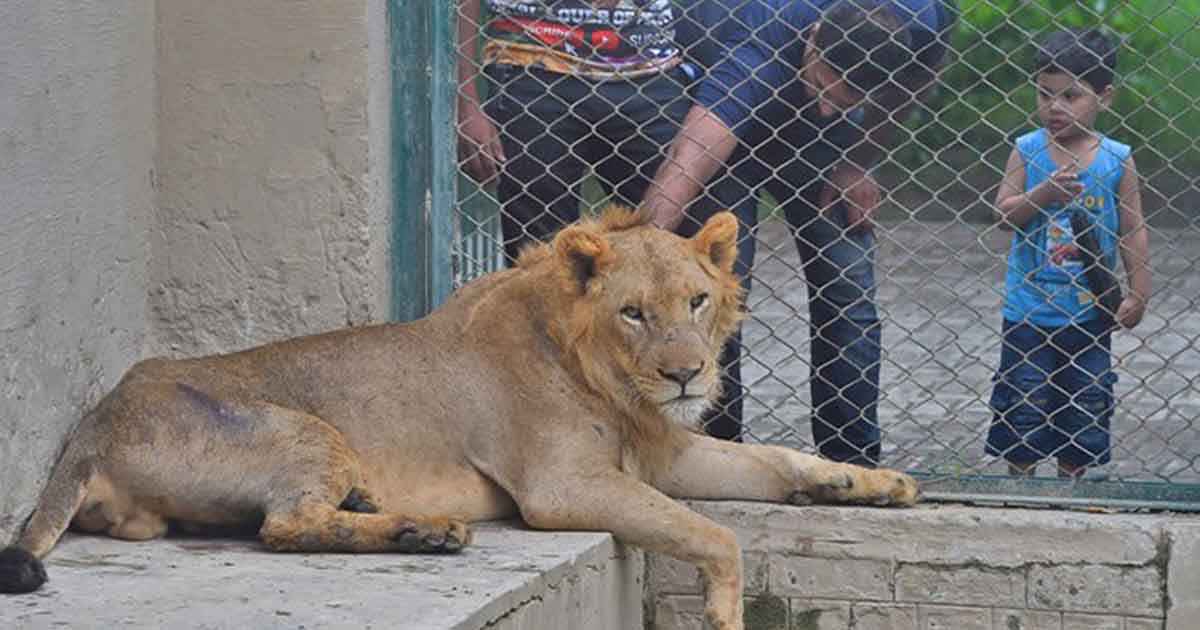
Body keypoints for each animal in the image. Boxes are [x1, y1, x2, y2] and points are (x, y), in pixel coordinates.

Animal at [2, 206, 916, 628]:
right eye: (633, 314)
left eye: (696, 300)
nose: (687, 373)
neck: (611, 384)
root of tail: (95, 418)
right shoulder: (559, 487)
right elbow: (713, 532)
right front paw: (726, 612)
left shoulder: (659, 451)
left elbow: (775, 462)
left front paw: (870, 483)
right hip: (305, 428)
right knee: (286, 527)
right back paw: (427, 531)